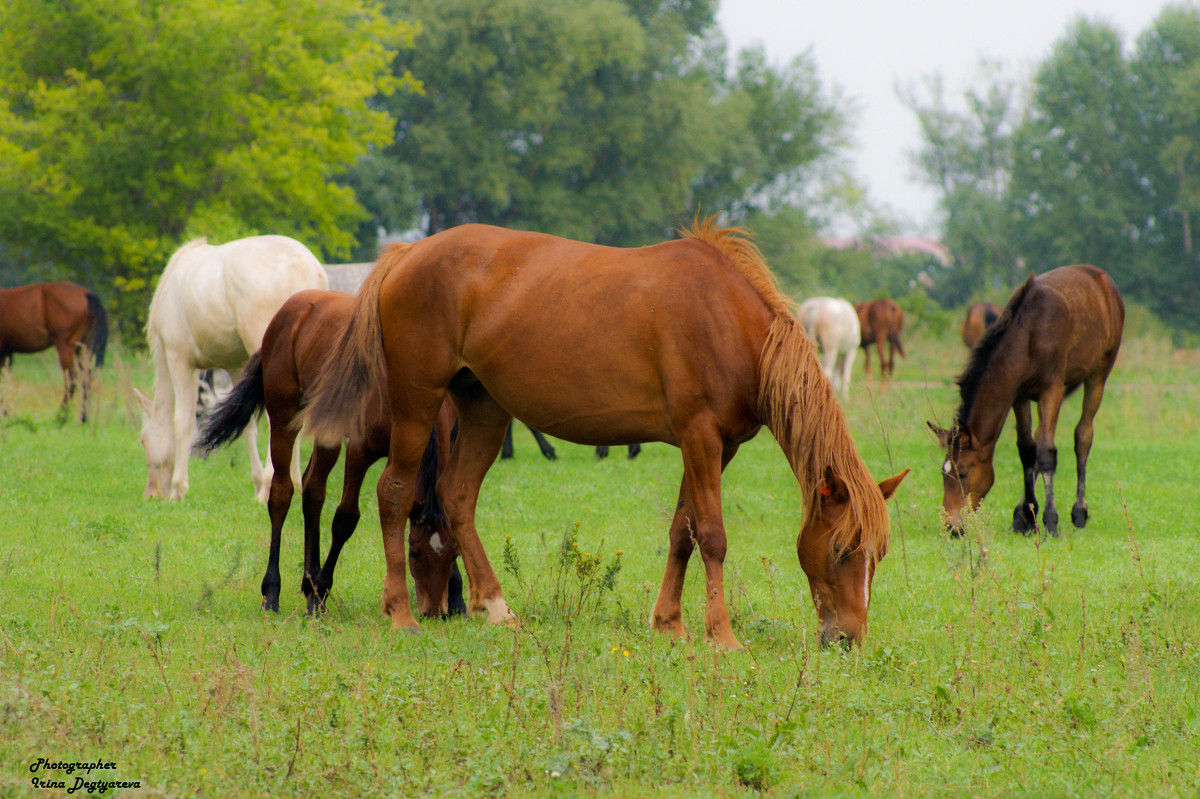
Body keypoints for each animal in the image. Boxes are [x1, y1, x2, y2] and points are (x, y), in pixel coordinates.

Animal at [0, 279, 108, 419]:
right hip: (84, 347)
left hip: (66, 346)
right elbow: (5, 380)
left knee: (71, 379)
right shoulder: (7, 352)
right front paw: (6, 413)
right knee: (86, 376)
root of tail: (86, 294)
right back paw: (84, 417)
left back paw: (62, 415)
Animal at [137, 233, 328, 501]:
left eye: (143, 441)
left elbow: (182, 422)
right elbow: (246, 424)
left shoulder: (180, 361)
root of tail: (300, 266)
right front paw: (258, 482)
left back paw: (270, 485)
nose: (151, 494)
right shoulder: (237, 366)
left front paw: (178, 488)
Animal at [194, 291, 460, 614]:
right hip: (284, 419)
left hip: (327, 428)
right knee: (282, 494)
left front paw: (458, 595)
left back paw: (307, 582)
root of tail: (292, 307)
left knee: (313, 490)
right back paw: (273, 591)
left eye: (454, 554)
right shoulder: (359, 451)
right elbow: (345, 519)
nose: (434, 613)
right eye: (415, 553)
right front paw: (321, 590)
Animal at [302, 219, 907, 647]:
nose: (849, 639)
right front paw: (722, 636)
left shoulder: (717, 447)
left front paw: (669, 623)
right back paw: (401, 613)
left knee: (456, 496)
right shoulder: (702, 438)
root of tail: (408, 254)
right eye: (841, 548)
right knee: (394, 493)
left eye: (878, 554)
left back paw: (497, 609)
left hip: (484, 411)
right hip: (419, 401)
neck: (730, 324)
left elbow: (682, 530)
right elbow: (711, 534)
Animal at [926, 266, 1123, 535]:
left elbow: (1047, 452)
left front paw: (1050, 520)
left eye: (963, 473)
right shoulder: (1018, 394)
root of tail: (1102, 278)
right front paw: (1026, 517)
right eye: (943, 473)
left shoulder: (1052, 390)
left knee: (1083, 436)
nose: (951, 527)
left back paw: (1079, 513)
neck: (1029, 333)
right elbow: (1027, 449)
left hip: (1099, 372)